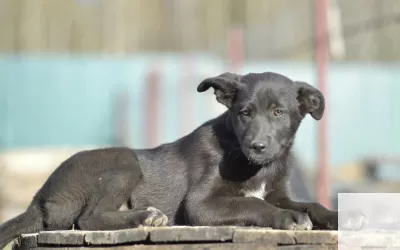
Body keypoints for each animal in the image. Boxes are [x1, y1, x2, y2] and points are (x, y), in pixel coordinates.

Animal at [0, 72, 338, 248]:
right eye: (245, 113)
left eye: (279, 112)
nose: (257, 146)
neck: (255, 166)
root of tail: (39, 197)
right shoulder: (199, 205)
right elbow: (252, 203)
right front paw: (287, 218)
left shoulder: (278, 193)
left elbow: (308, 203)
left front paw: (332, 215)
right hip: (124, 162)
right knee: (87, 218)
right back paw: (145, 216)